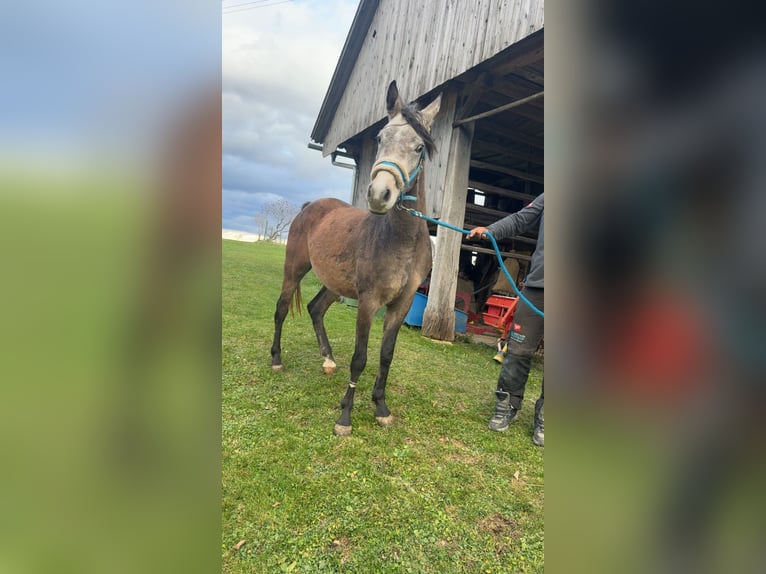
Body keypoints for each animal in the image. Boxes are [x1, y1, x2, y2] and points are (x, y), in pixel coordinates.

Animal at [270, 80, 442, 436]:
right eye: (380, 138)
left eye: (419, 147)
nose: (379, 195)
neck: (401, 240)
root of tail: (310, 206)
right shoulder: (368, 302)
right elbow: (360, 357)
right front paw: (345, 416)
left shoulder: (401, 304)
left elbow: (386, 355)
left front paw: (381, 407)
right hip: (294, 269)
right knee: (281, 309)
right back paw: (276, 359)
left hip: (334, 283)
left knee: (315, 308)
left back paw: (327, 359)